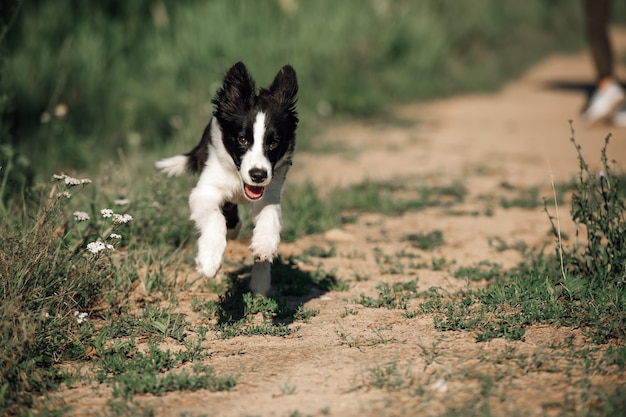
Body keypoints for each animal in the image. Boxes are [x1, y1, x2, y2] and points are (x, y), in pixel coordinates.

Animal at [155, 61, 298, 296]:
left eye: (273, 143)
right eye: (242, 139)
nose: (258, 175)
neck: (238, 179)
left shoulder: (271, 189)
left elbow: (270, 215)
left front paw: (264, 245)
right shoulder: (205, 191)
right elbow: (215, 218)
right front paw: (209, 261)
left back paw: (260, 284)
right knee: (228, 218)